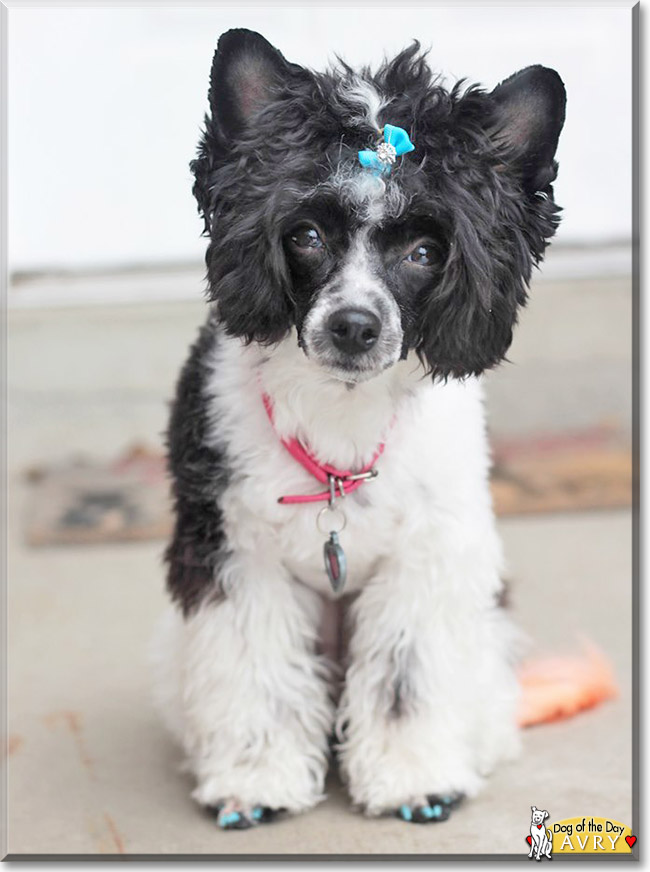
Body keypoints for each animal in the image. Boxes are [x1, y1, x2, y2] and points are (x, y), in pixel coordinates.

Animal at [151, 29, 560, 832]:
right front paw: (258, 776)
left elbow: (407, 681)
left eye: (426, 252)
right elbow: (256, 674)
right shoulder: (237, 558)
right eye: (306, 235)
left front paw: (413, 777)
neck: (341, 414)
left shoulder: (427, 563)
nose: (354, 325)